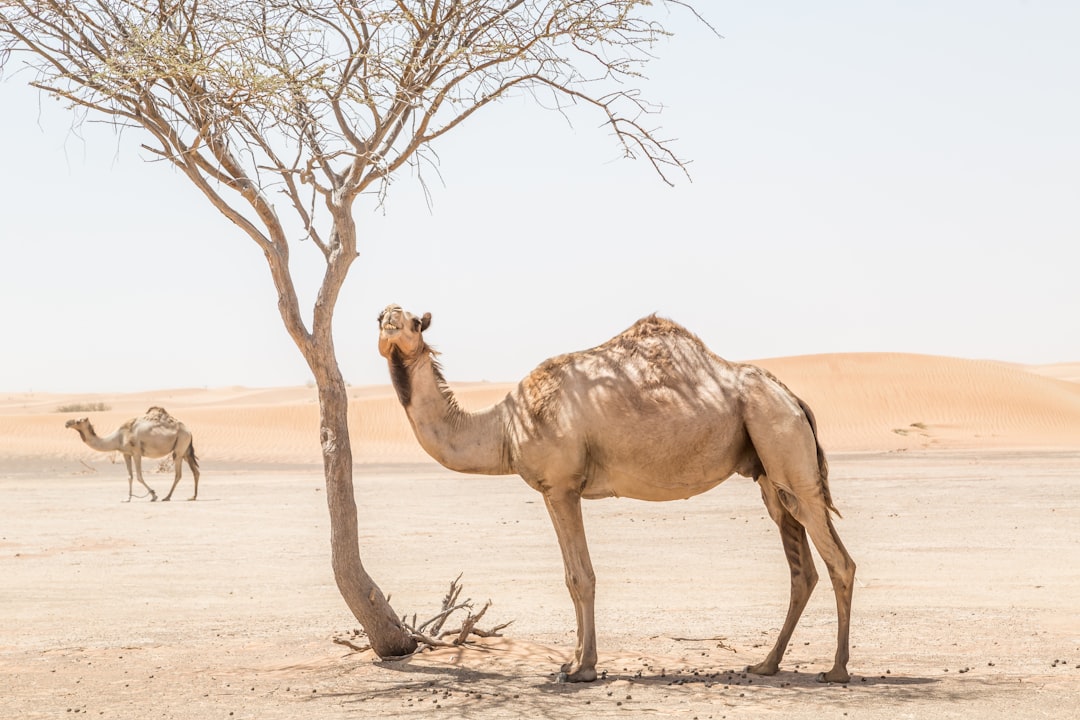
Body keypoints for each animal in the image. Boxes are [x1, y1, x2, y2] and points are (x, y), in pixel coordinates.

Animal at [66, 405, 201, 500]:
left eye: (78, 421)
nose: (67, 423)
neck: (118, 437)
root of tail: (189, 431)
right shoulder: (126, 453)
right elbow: (129, 476)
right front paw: (127, 498)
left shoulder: (136, 453)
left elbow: (139, 477)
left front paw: (154, 495)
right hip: (186, 451)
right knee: (196, 471)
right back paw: (193, 497)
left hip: (180, 445)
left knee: (178, 473)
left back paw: (167, 497)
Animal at [375, 306, 855, 686]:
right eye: (380, 317)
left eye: (413, 322)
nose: (389, 320)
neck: (505, 426)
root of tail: (793, 398)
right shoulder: (553, 490)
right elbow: (571, 577)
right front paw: (571, 661)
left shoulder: (563, 486)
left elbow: (581, 577)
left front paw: (582, 669)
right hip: (769, 471)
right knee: (802, 567)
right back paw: (767, 664)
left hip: (783, 442)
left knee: (839, 561)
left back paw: (836, 670)